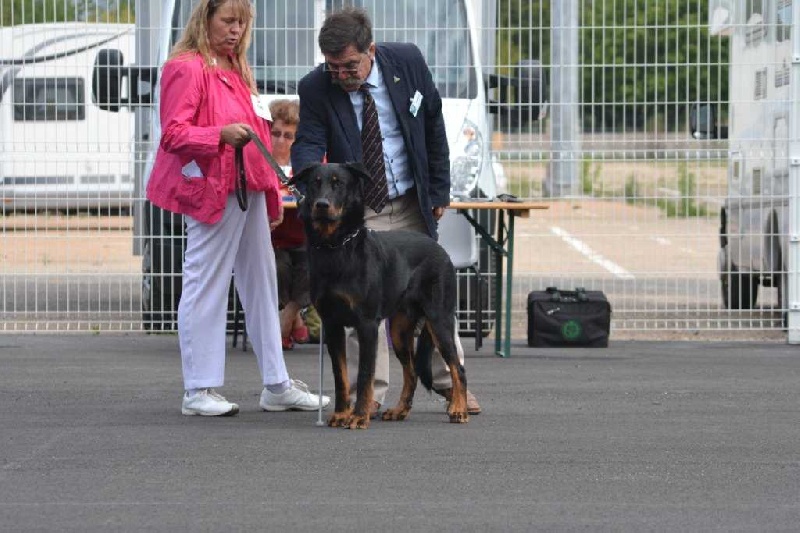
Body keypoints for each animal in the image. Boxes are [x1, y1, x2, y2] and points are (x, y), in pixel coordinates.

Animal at [294, 161, 468, 428]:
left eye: (338, 183)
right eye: (315, 183)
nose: (321, 204)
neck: (336, 246)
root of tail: (440, 249)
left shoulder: (367, 324)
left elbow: (365, 375)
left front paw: (358, 417)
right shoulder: (332, 325)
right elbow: (341, 375)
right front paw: (341, 414)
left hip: (439, 319)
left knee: (457, 368)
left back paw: (459, 409)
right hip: (399, 330)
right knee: (412, 372)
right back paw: (399, 410)